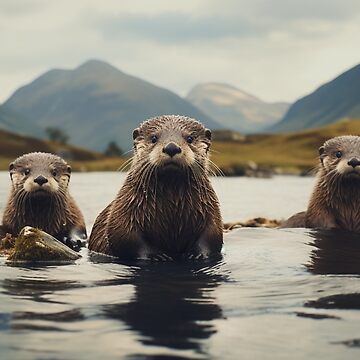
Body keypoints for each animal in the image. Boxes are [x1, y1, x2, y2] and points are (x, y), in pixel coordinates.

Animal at [89, 115, 224, 258]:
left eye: (190, 138)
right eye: (154, 138)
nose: (171, 147)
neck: (172, 211)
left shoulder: (211, 213)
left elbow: (212, 237)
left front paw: (196, 254)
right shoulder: (123, 212)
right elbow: (123, 237)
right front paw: (155, 255)